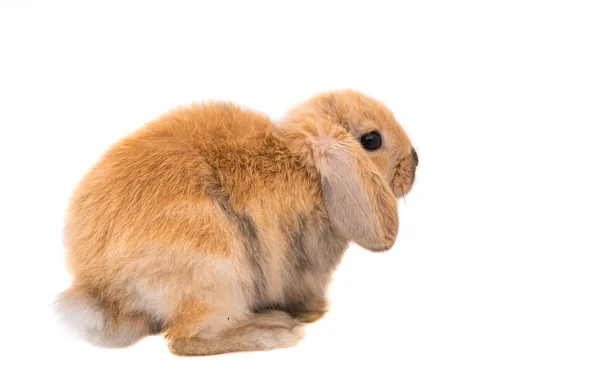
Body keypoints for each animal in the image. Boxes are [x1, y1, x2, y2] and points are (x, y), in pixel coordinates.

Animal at [55, 88, 418, 354]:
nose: (415, 160)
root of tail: (104, 288)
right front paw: (312, 313)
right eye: (371, 140)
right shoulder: (305, 269)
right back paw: (275, 330)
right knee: (184, 340)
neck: (308, 169)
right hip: (215, 270)